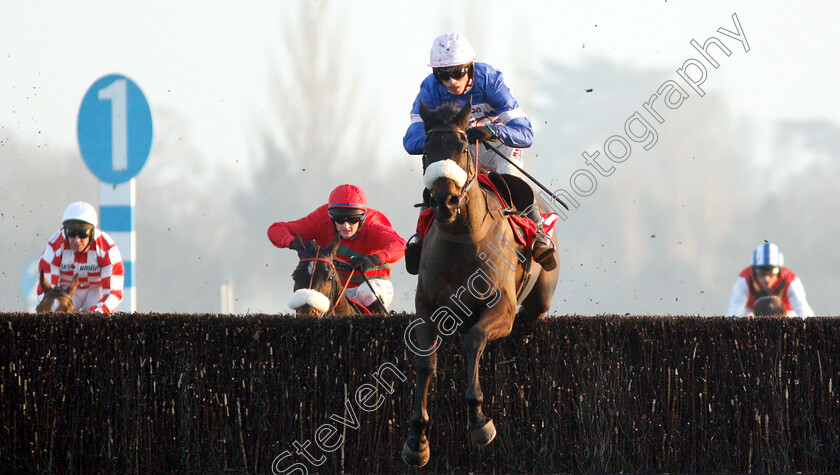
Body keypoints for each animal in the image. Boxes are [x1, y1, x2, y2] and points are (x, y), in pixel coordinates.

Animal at [404, 98, 560, 466]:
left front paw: (478, 421)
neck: (463, 238)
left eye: (463, 147)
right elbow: (425, 362)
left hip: (539, 298)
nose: (444, 201)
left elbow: (474, 340)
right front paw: (417, 438)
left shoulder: (502, 307)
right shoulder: (427, 309)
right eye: (426, 150)